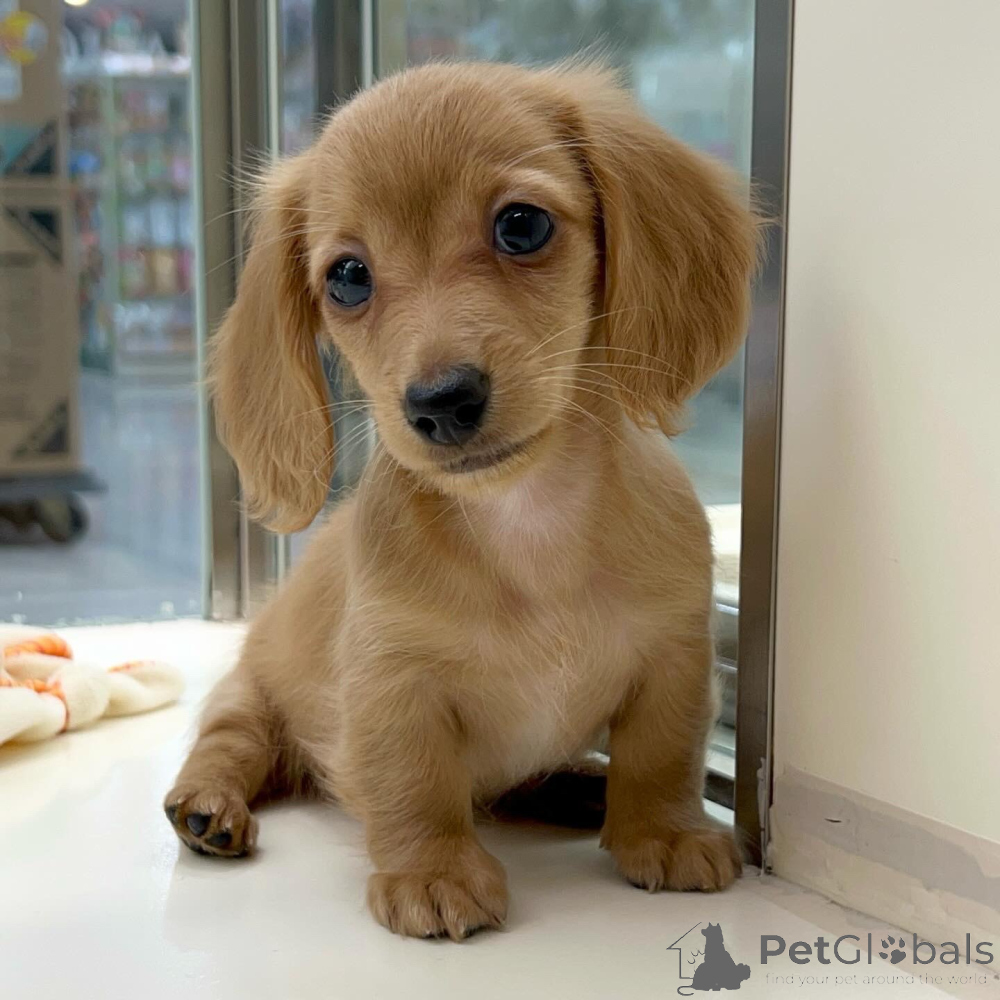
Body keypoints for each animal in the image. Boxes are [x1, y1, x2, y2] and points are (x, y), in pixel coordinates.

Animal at [164, 60, 760, 941]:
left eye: (521, 225)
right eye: (348, 277)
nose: (441, 403)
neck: (528, 518)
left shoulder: (676, 654)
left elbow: (662, 753)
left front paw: (665, 830)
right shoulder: (391, 680)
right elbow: (414, 783)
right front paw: (433, 870)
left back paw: (578, 784)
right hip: (252, 691)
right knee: (231, 739)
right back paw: (207, 806)